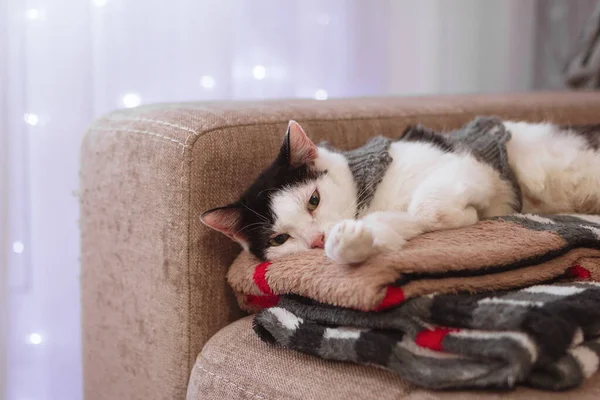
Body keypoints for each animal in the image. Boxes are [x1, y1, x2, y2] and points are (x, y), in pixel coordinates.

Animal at [200, 117, 600, 264]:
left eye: (313, 200)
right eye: (280, 239)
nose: (315, 240)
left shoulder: (467, 167)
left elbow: (428, 209)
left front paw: (469, 214)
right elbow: (397, 226)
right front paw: (348, 243)